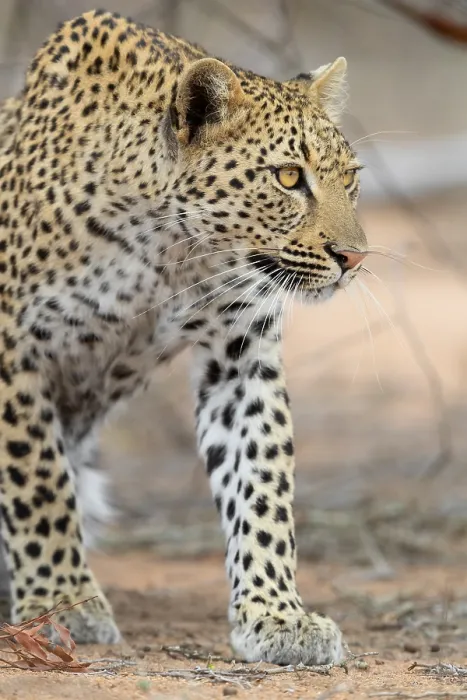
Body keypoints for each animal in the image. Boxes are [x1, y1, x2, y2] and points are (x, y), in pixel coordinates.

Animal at [0, 9, 368, 665]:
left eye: (349, 179)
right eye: (288, 177)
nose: (353, 258)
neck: (172, 251)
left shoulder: (242, 357)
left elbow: (263, 482)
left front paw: (277, 615)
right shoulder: (16, 344)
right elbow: (38, 482)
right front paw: (61, 602)